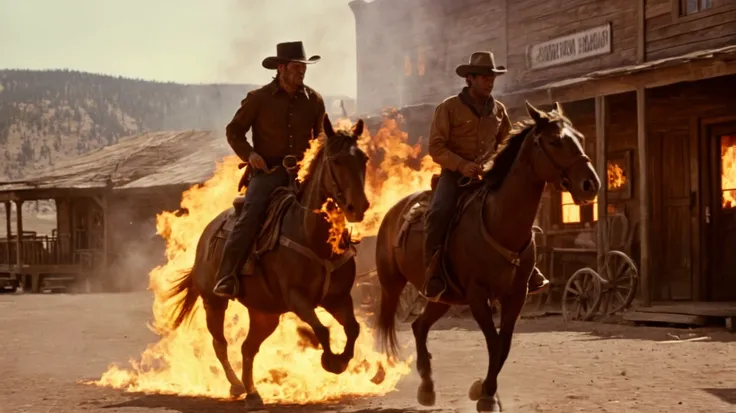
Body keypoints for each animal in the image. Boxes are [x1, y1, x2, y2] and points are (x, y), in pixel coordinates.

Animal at [170, 114, 370, 408]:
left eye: (363, 159)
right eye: (336, 161)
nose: (359, 206)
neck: (310, 234)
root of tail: (207, 233)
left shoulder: (338, 298)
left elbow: (353, 328)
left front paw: (341, 361)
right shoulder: (297, 298)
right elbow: (321, 330)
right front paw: (331, 361)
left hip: (265, 314)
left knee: (248, 348)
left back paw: (253, 393)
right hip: (213, 301)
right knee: (220, 344)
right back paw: (236, 385)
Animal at [376, 102, 600, 408]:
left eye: (579, 136)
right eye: (555, 141)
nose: (591, 184)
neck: (499, 221)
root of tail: (392, 213)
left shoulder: (515, 296)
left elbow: (503, 346)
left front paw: (483, 389)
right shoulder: (477, 295)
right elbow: (494, 343)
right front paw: (486, 396)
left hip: (444, 297)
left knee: (419, 326)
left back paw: (427, 387)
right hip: (393, 286)